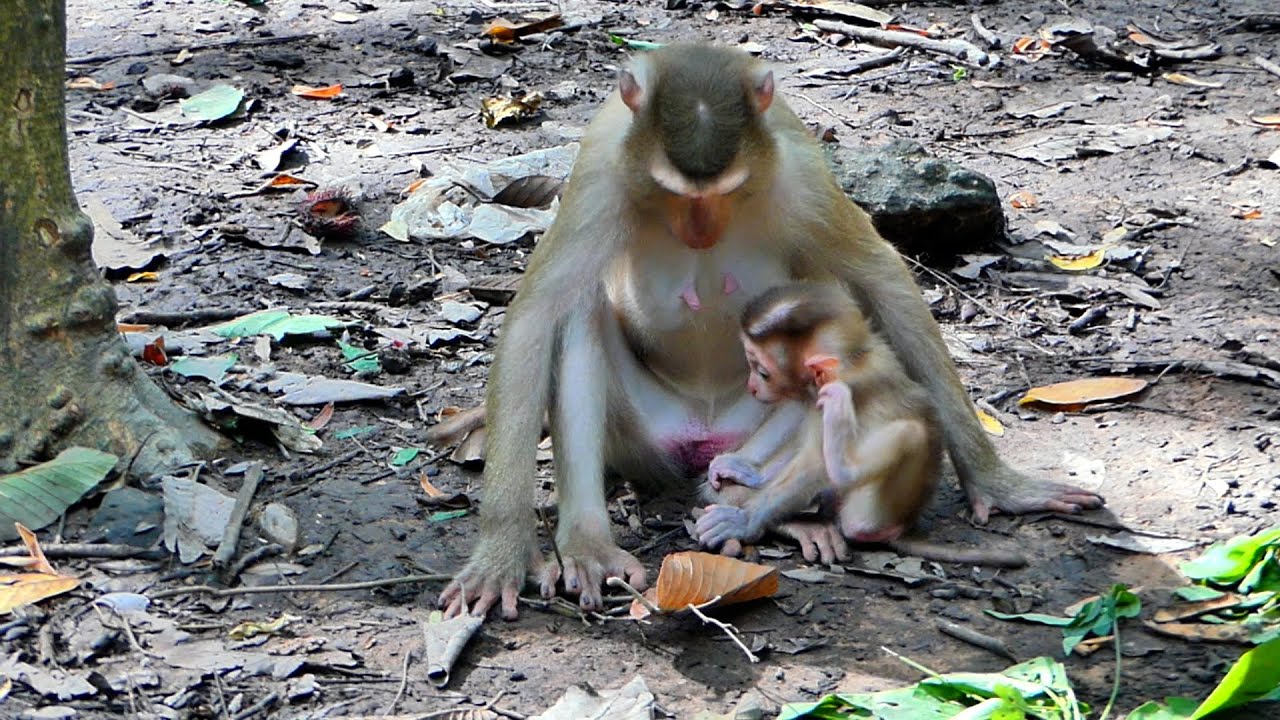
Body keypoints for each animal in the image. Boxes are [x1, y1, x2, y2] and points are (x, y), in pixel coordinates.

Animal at [439, 44, 1099, 620]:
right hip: (642, 438)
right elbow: (536, 315)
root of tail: (702, 437)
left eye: (727, 189)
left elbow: (881, 278)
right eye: (676, 192)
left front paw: (996, 481)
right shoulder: (601, 168)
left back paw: (766, 506)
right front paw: (501, 552)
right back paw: (589, 543)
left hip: (743, 434)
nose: (701, 232)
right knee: (580, 310)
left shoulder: (800, 170)